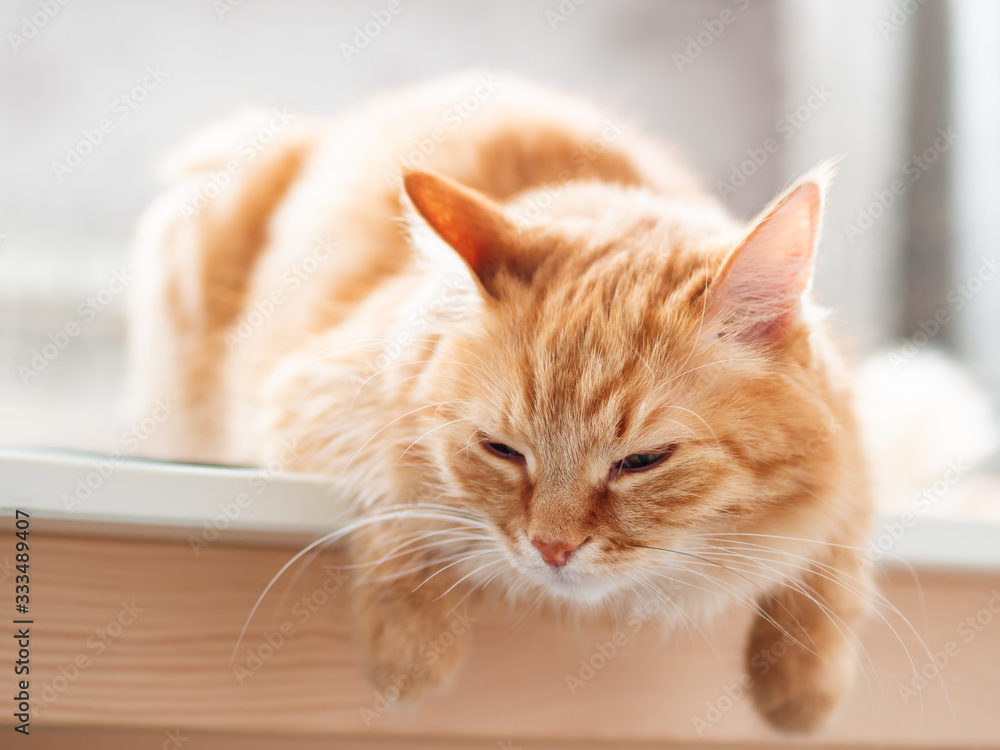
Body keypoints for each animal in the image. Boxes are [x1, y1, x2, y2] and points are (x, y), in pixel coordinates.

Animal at [131, 72, 868, 736]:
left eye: (643, 461)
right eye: (503, 451)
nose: (552, 548)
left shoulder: (854, 433)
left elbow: (842, 538)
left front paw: (806, 684)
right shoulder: (317, 393)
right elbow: (398, 494)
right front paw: (410, 641)